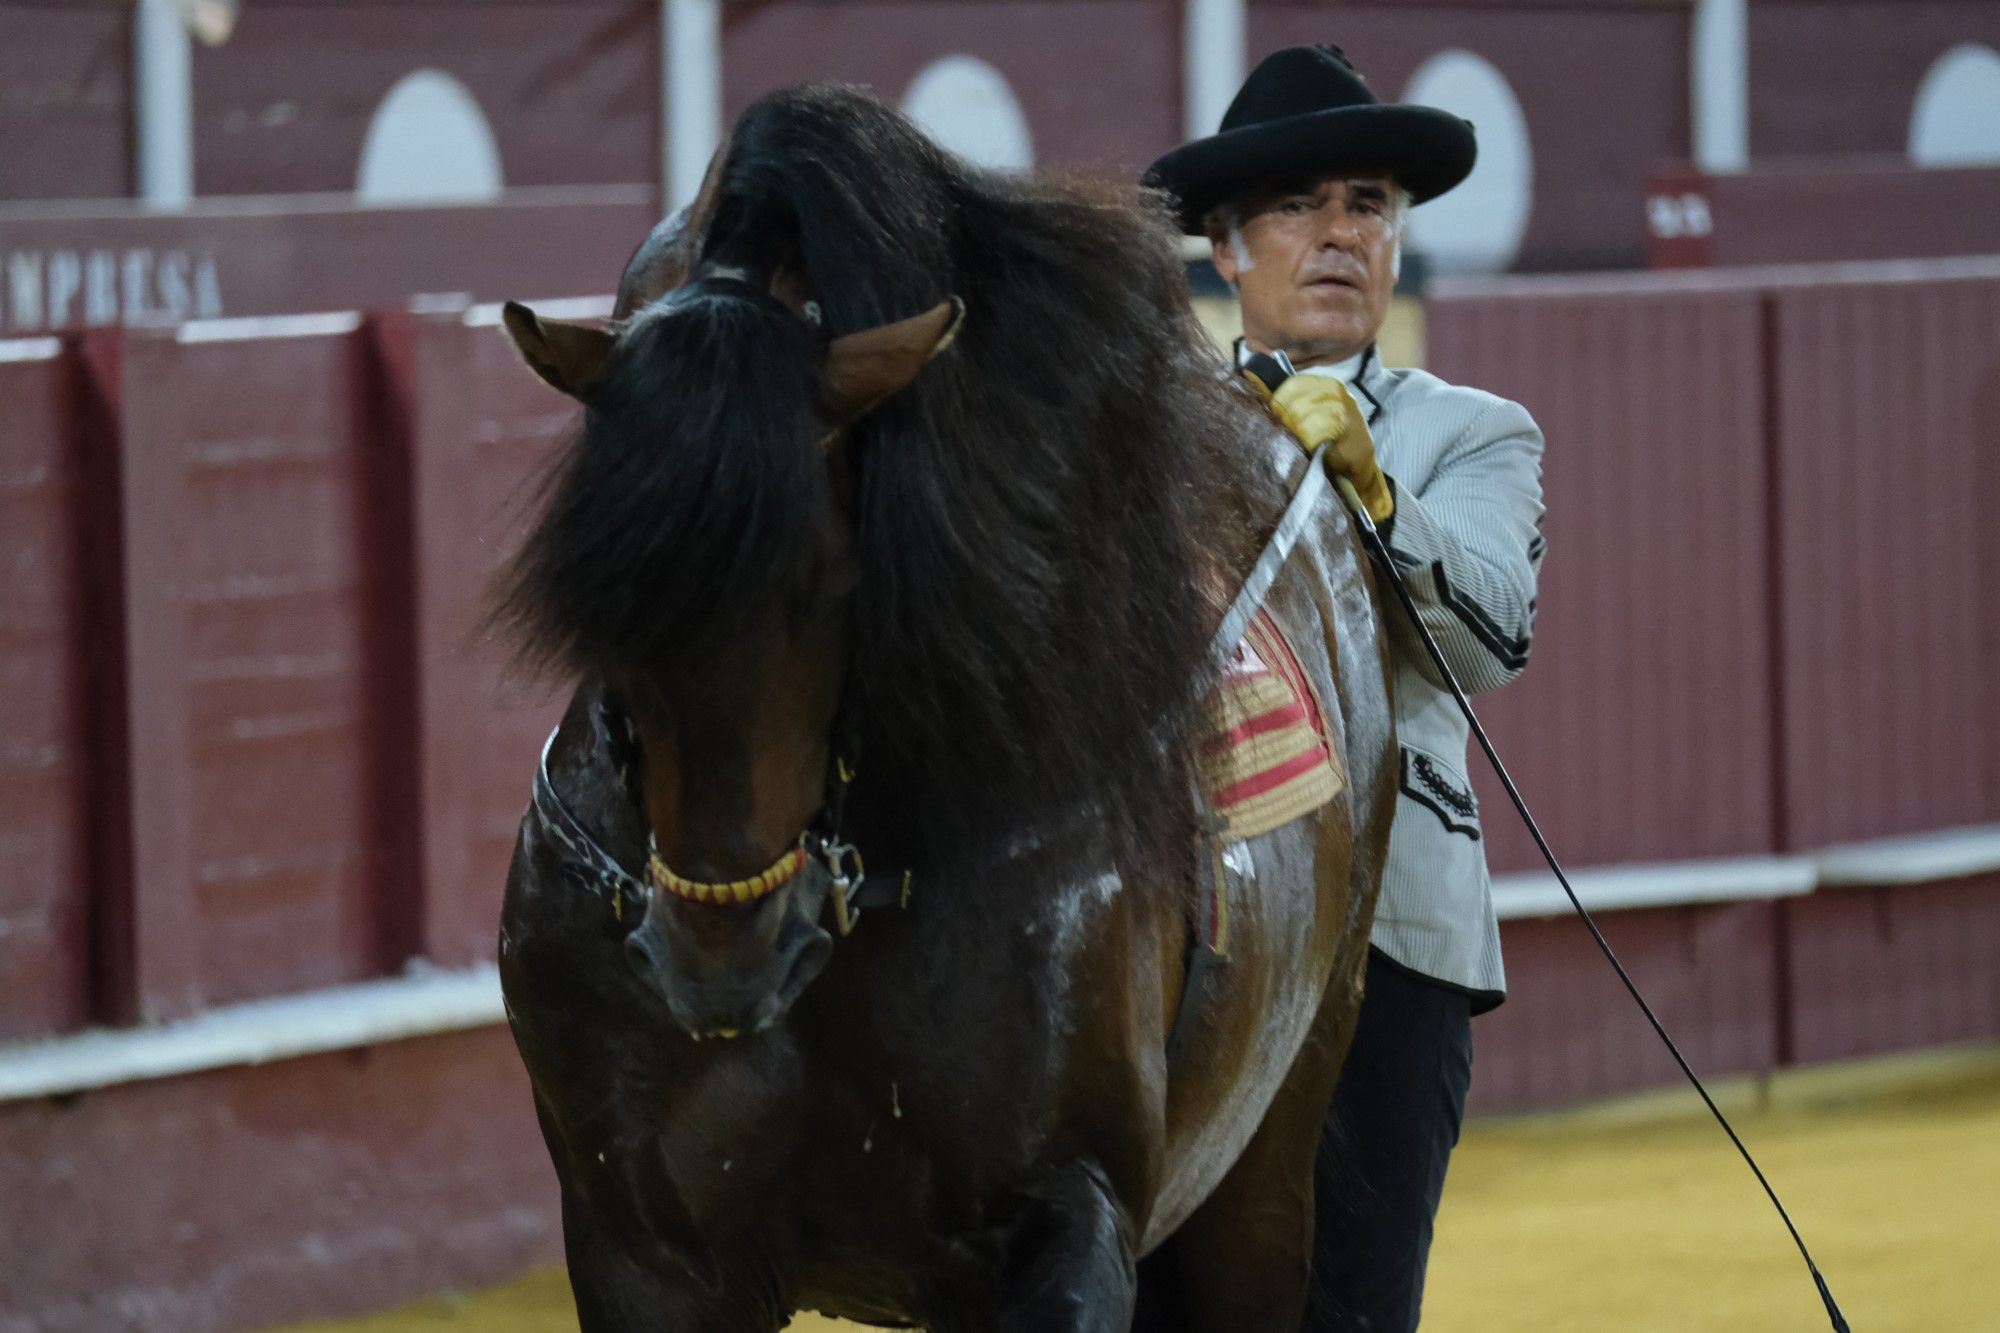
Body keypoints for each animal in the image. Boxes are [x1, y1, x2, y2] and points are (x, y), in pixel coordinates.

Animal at [488, 85, 1392, 1328]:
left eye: (833, 581)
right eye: (598, 590)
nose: (717, 960)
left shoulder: (1065, 1220)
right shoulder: (643, 1256)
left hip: (1267, 1161)